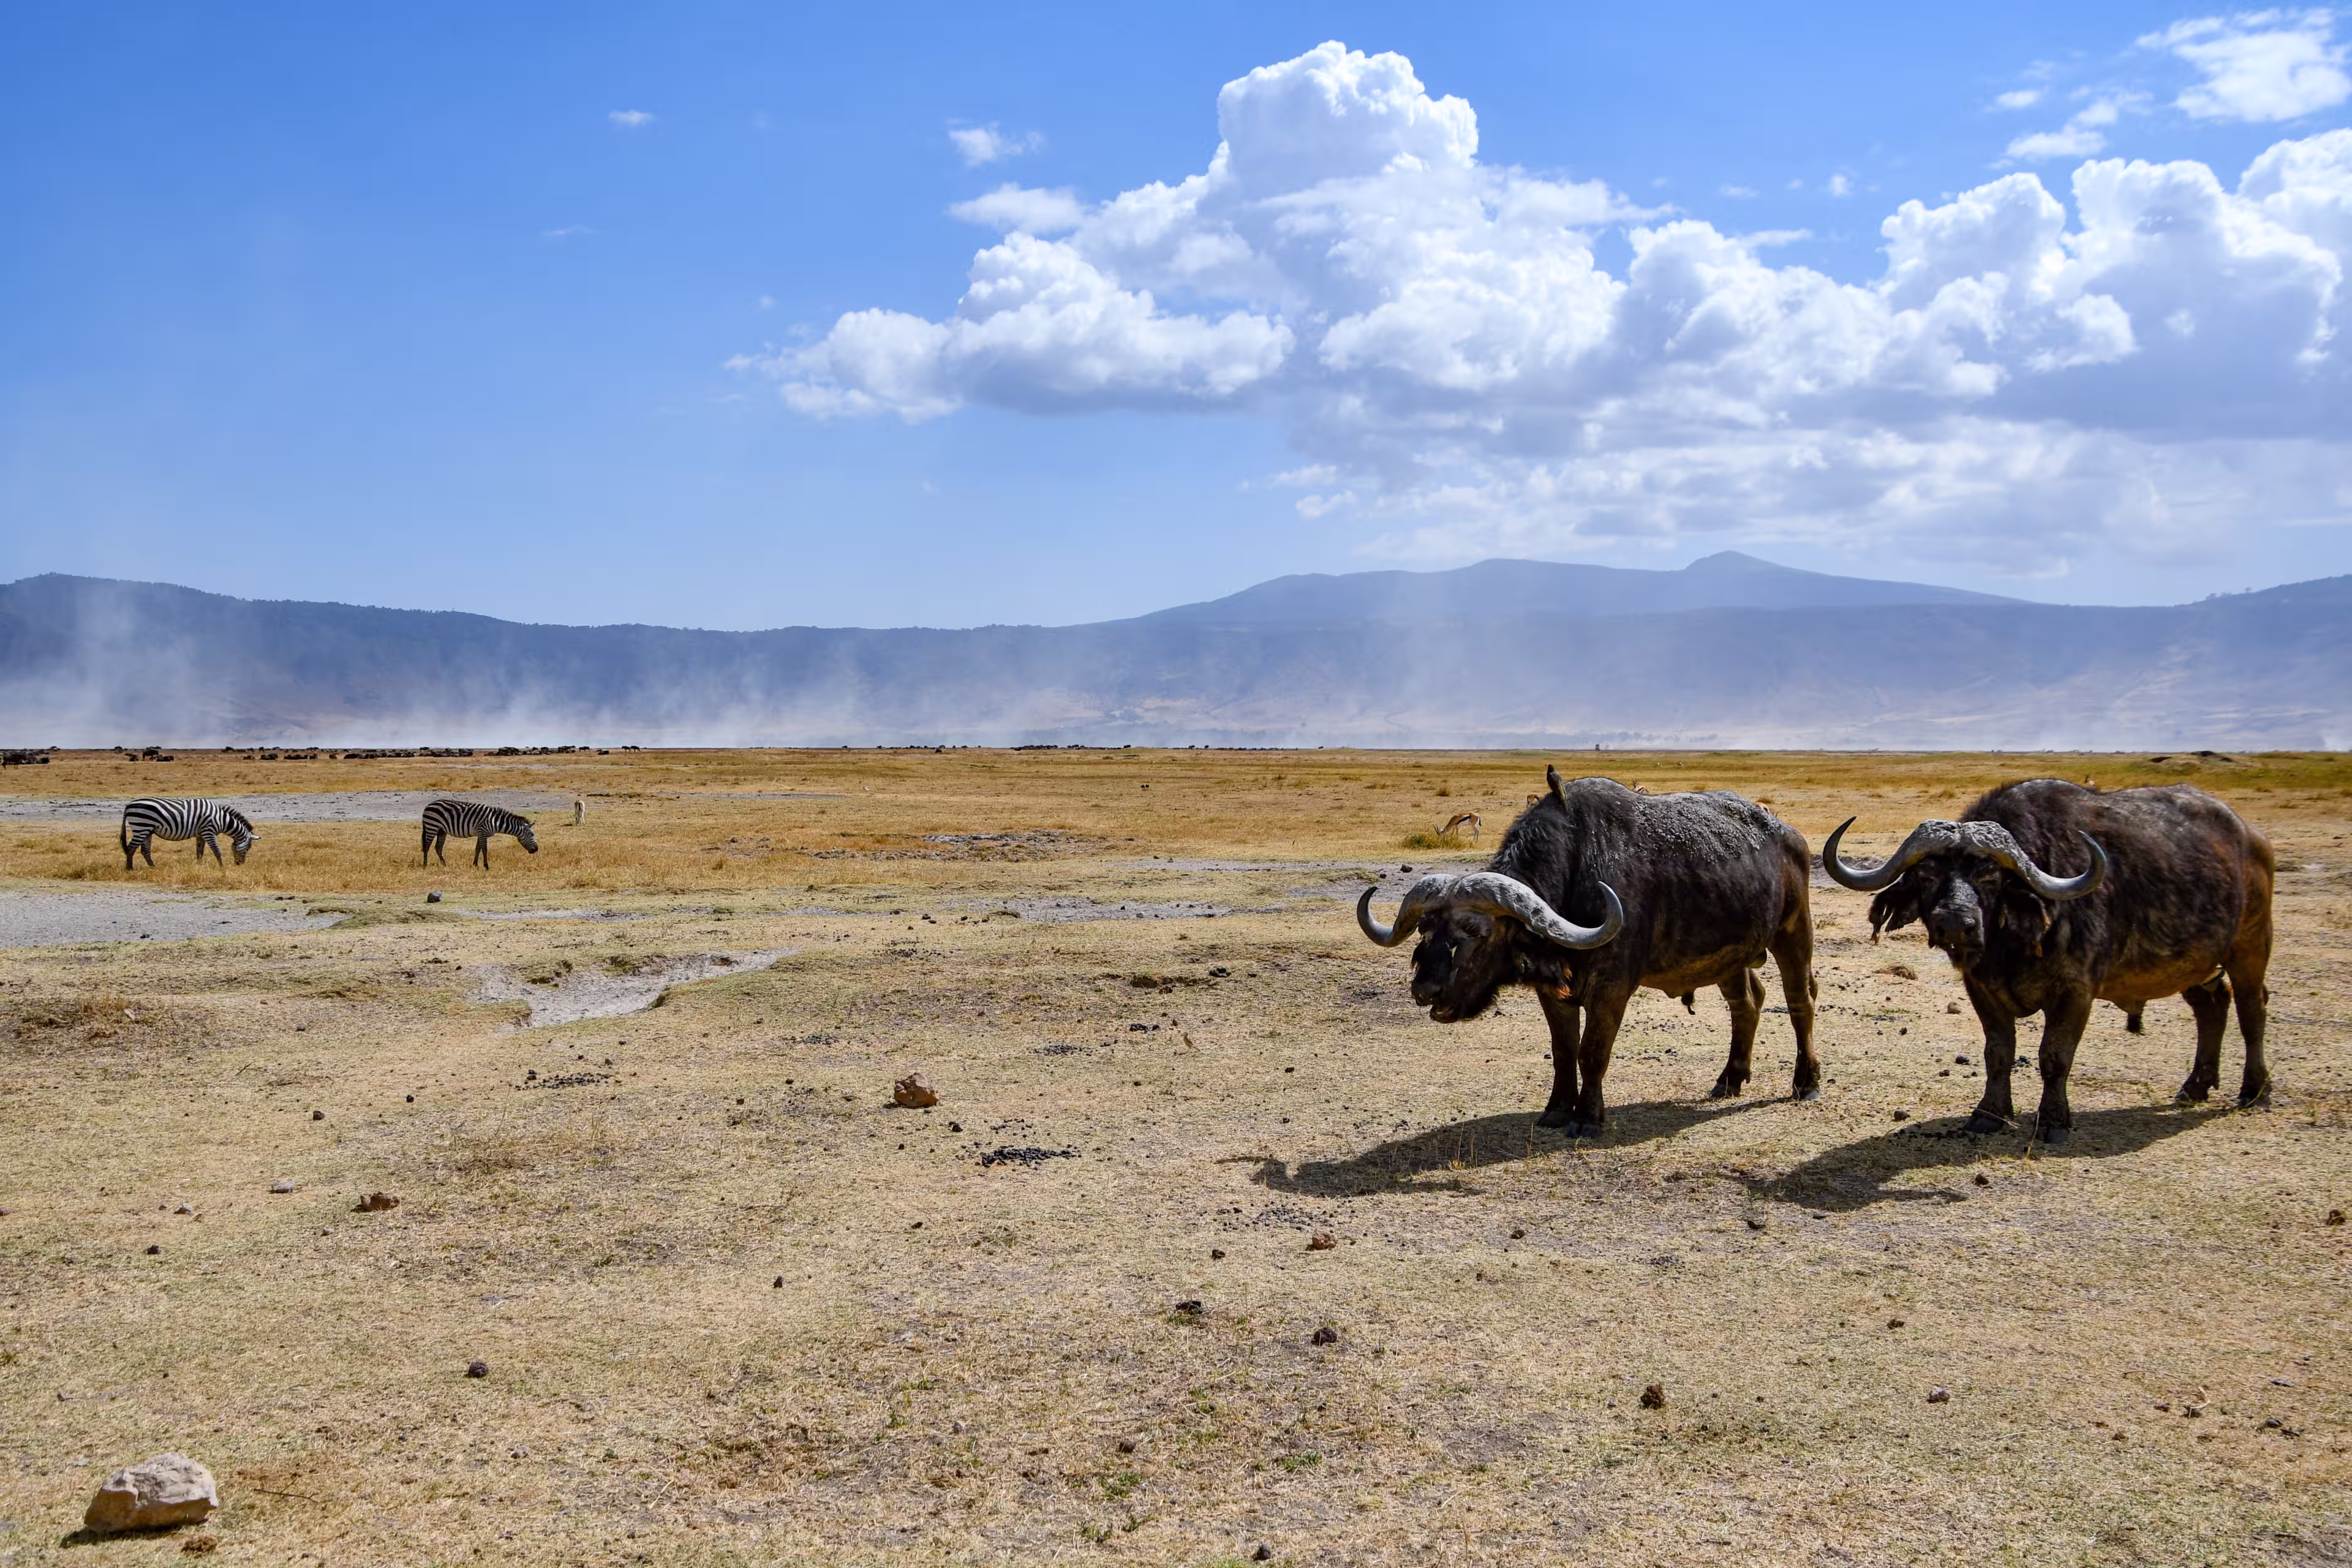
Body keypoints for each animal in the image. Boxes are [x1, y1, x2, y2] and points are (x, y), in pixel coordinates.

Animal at [120, 798, 257, 870]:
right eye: (247, 849)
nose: (240, 864)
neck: (222, 819)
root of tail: (128, 805)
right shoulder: (209, 832)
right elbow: (217, 851)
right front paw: (222, 868)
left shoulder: (201, 835)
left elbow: (200, 852)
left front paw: (199, 866)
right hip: (141, 827)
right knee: (131, 848)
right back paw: (130, 869)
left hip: (147, 831)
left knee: (145, 850)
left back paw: (153, 867)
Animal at [421, 798, 539, 868]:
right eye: (532, 835)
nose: (536, 849)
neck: (495, 821)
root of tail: (429, 805)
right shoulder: (483, 832)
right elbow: (485, 850)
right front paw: (486, 866)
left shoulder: (480, 833)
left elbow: (478, 849)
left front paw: (475, 865)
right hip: (432, 826)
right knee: (427, 846)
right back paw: (425, 865)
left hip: (441, 830)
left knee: (438, 848)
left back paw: (445, 864)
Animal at [1357, 769, 1820, 1135]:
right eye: (1426, 929)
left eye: (1476, 932)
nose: (1425, 990)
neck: (1576, 871)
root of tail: (1789, 835)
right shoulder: (1553, 991)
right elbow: (1564, 1052)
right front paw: (1557, 1110)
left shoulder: (1612, 988)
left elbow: (1592, 1051)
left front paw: (1587, 1117)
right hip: (1731, 958)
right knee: (1748, 1003)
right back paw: (1730, 1079)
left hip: (1794, 932)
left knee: (1801, 1001)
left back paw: (1806, 1082)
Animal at [1823, 780, 2273, 1144]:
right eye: (1928, 874)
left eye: (1989, 874)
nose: (1954, 924)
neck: (2011, 945)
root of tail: (2252, 839)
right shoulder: (1981, 989)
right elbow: (1998, 1053)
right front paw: (1989, 1114)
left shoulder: (2076, 993)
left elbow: (2054, 1057)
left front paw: (2054, 1121)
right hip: (2193, 965)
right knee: (2213, 1006)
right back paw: (2196, 1086)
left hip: (2250, 946)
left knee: (2252, 1011)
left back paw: (2255, 1091)